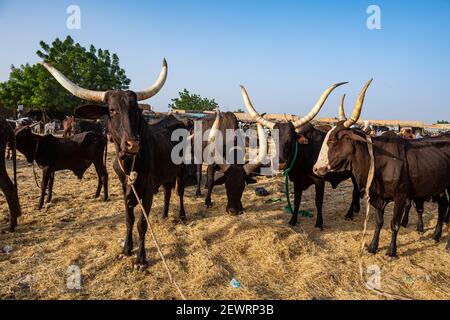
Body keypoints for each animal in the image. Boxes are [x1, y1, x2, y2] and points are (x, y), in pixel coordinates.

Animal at [39, 58, 192, 268]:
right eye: (112, 110)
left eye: (136, 110)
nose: (132, 144)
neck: (130, 163)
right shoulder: (124, 186)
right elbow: (129, 219)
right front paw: (126, 249)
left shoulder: (148, 189)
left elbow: (141, 223)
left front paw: (140, 259)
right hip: (167, 172)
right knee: (168, 190)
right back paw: (164, 214)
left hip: (182, 168)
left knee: (180, 191)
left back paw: (182, 215)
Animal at [312, 79, 450, 255]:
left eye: (333, 140)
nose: (316, 169)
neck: (378, 162)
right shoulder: (377, 197)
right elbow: (379, 222)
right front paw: (372, 246)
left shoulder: (400, 197)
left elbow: (394, 224)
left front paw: (391, 251)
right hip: (440, 188)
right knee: (443, 207)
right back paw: (436, 236)